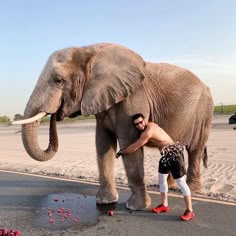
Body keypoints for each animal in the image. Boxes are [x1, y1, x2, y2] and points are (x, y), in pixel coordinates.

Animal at [14, 42, 214, 210]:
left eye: (58, 80)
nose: (56, 114)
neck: (88, 50)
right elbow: (103, 145)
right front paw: (105, 202)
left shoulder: (132, 100)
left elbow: (130, 145)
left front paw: (135, 207)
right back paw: (170, 186)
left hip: (204, 113)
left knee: (195, 150)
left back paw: (192, 189)